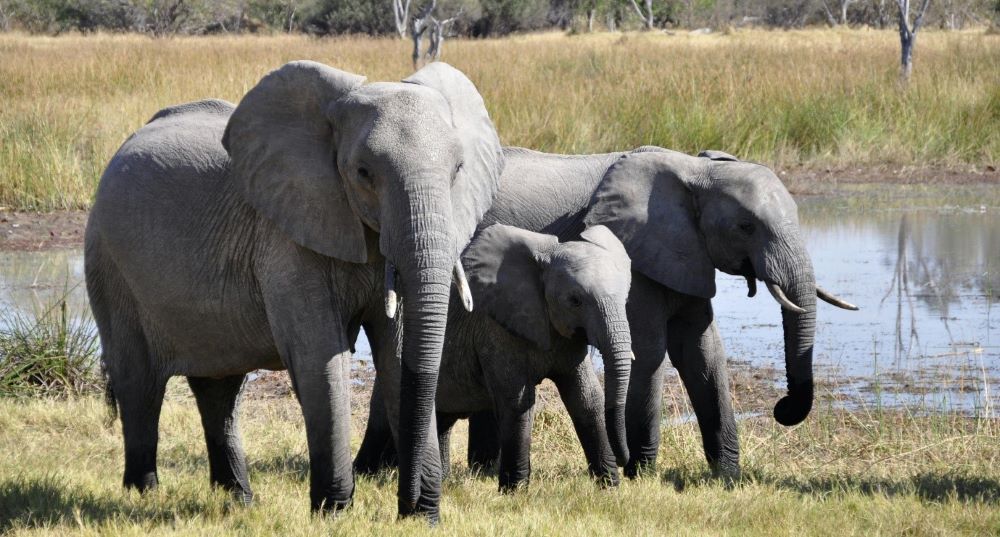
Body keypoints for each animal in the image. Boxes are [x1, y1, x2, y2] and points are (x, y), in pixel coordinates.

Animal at [84, 60, 503, 521]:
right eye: (363, 173)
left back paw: (239, 500)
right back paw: (143, 494)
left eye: (458, 170)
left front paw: (420, 516)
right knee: (139, 382)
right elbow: (320, 357)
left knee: (220, 389)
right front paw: (333, 513)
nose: (410, 505)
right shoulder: (285, 237)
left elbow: (396, 355)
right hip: (108, 261)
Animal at [356, 146, 857, 481]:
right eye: (746, 226)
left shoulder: (686, 256)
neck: (696, 170)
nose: (782, 409)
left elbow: (702, 353)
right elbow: (651, 352)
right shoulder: (640, 255)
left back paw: (474, 471)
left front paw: (727, 477)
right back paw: (377, 474)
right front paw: (643, 474)